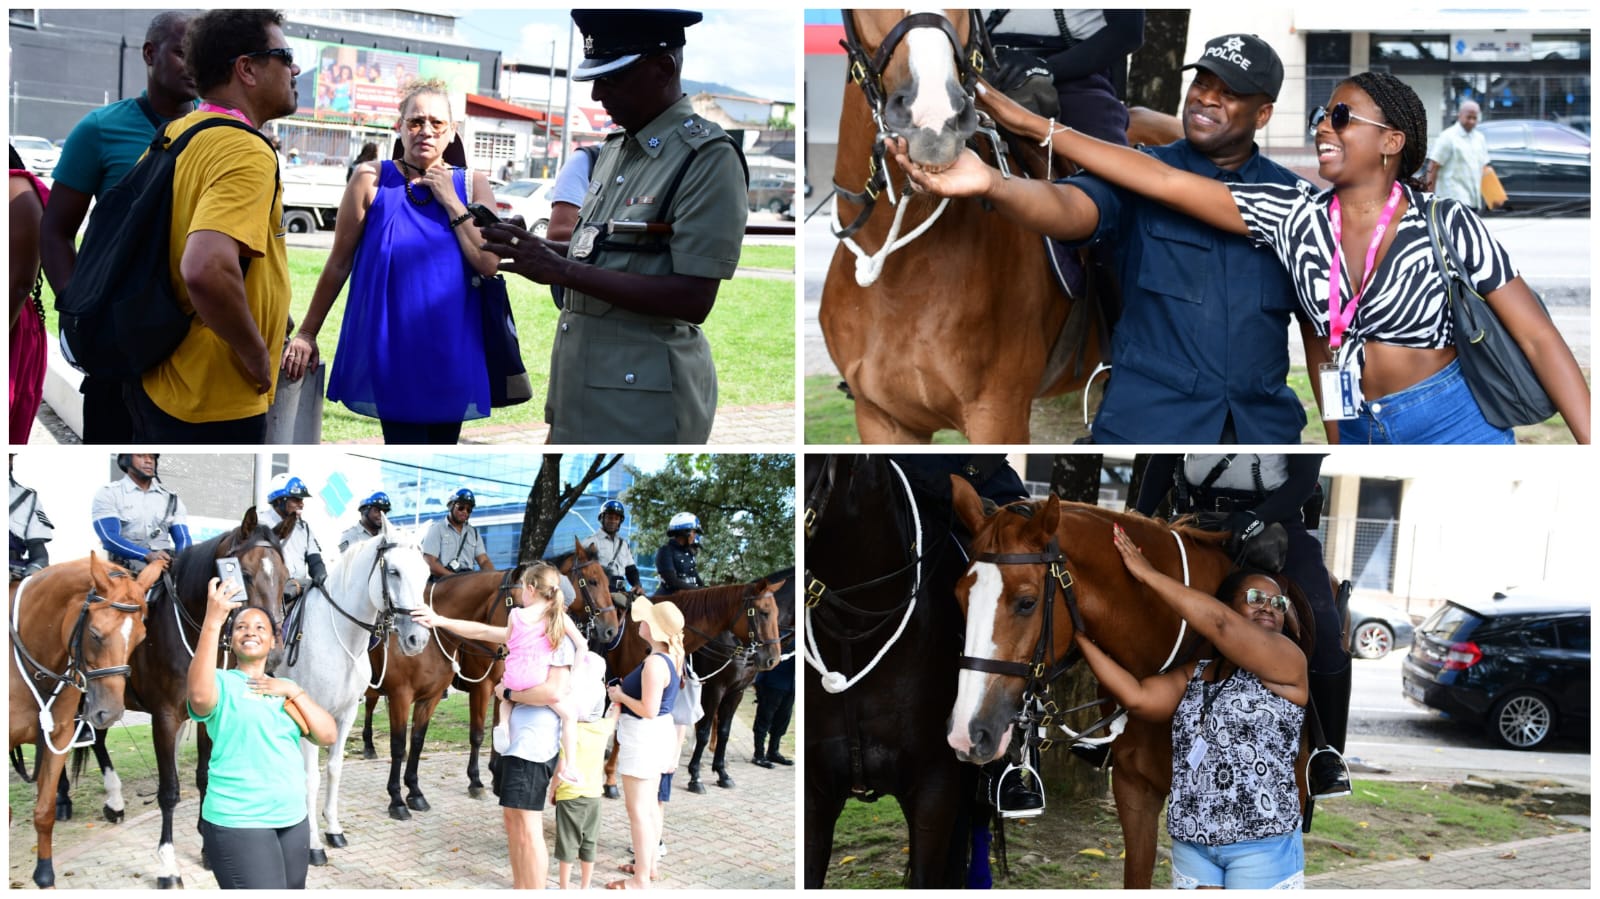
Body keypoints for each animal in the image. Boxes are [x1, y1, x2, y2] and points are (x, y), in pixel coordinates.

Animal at [9, 550, 159, 883]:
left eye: (140, 637)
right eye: (94, 634)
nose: (110, 712)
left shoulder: (58, 734)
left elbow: (44, 813)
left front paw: (45, 877)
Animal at [280, 527, 432, 863]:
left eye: (426, 574)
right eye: (394, 571)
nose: (418, 639)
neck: (336, 637)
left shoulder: (346, 714)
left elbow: (334, 770)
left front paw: (334, 830)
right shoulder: (310, 717)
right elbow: (312, 778)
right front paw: (313, 845)